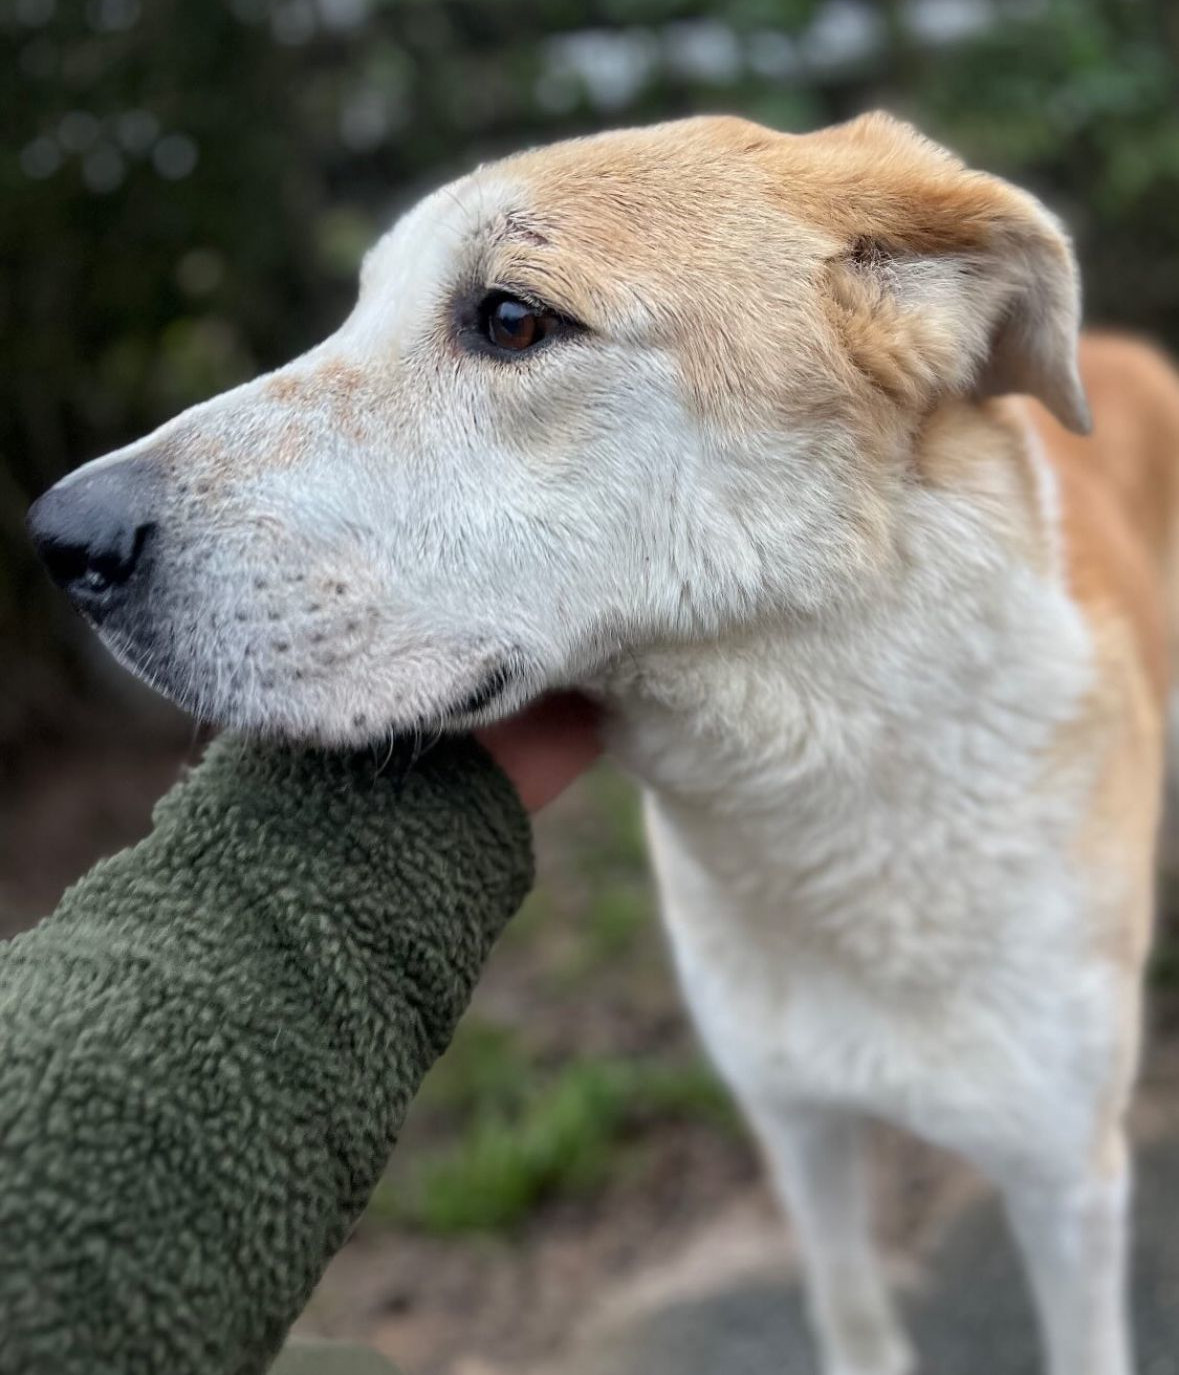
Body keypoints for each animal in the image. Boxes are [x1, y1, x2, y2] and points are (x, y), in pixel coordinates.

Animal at [27, 115, 1177, 1375]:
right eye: (360, 309)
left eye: (511, 319)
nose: (61, 538)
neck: (832, 807)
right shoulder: (798, 1128)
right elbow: (853, 1314)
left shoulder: (1068, 1184)